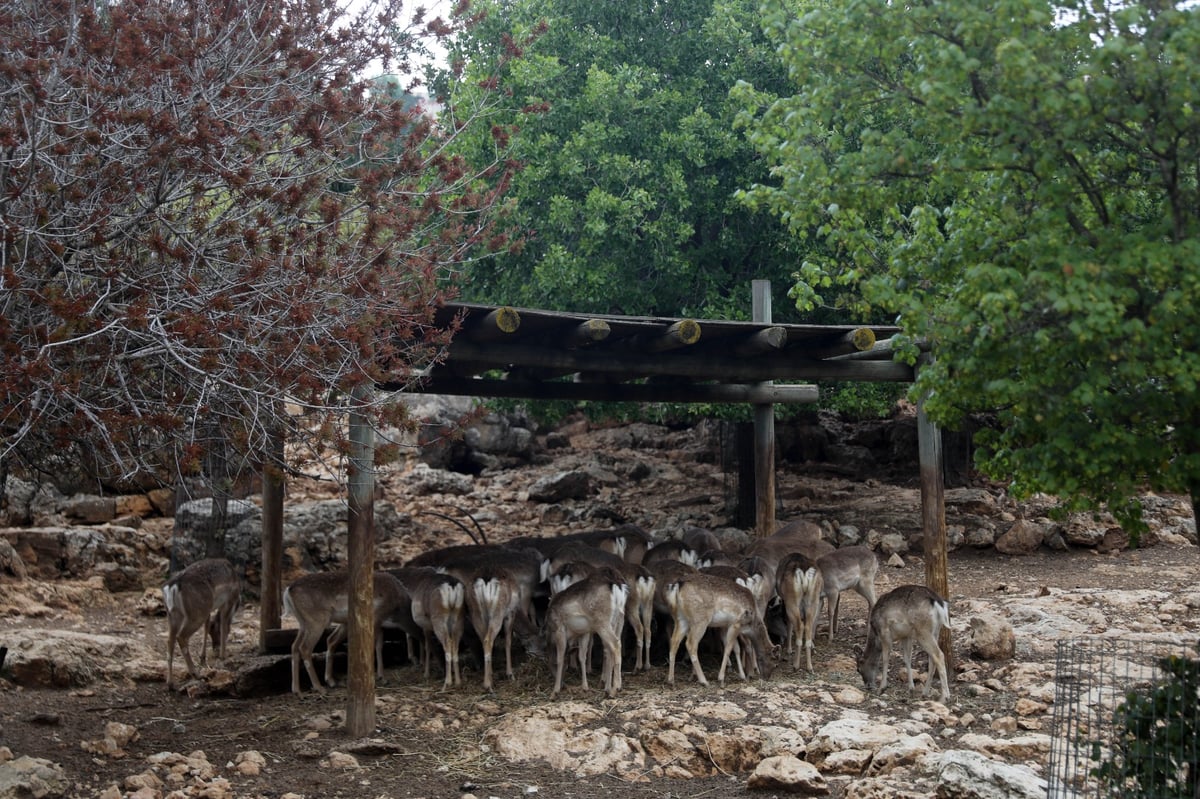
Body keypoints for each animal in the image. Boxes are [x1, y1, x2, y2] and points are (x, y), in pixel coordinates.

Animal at [162, 556, 241, 686]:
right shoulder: (228, 601)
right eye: (215, 632)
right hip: (197, 613)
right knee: (181, 636)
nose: (215, 647)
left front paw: (203, 657)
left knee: (169, 641)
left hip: (173, 614)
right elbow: (224, 625)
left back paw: (170, 683)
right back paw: (196, 674)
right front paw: (223, 656)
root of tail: (173, 586)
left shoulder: (210, 610)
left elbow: (207, 625)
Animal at [549, 563, 633, 695]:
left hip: (602, 622)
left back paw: (614, 689)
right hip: (619, 618)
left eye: (550, 664)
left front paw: (555, 690)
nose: (562, 684)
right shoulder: (584, 632)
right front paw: (585, 686)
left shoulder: (559, 628)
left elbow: (560, 657)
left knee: (615, 644)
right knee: (611, 646)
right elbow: (581, 655)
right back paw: (610, 687)